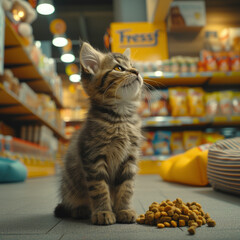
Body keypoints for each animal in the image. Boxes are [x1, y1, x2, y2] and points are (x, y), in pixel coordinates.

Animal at [54, 41, 143, 225]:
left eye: (134, 66)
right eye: (118, 68)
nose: (137, 72)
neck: (121, 118)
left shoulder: (130, 157)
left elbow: (126, 187)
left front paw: (124, 210)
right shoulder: (93, 157)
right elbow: (99, 189)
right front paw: (103, 212)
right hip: (70, 185)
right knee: (72, 203)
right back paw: (81, 210)